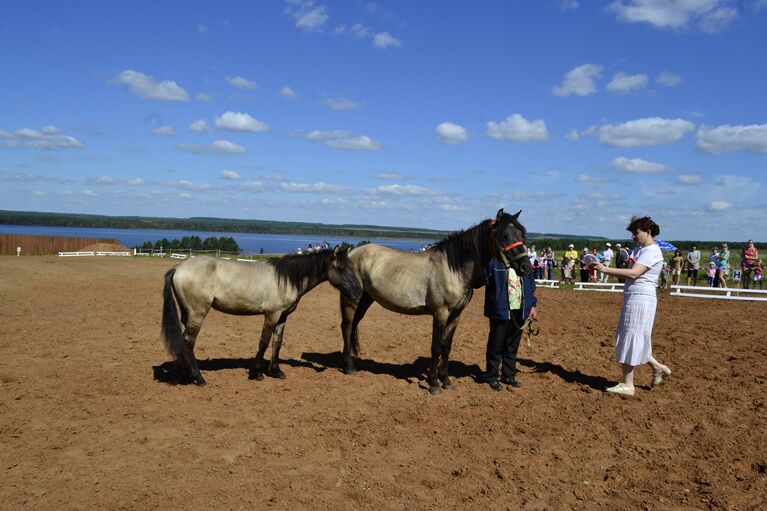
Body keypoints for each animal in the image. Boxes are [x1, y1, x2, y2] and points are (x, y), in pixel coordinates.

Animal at [161, 247, 364, 384]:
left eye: (351, 267)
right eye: (340, 268)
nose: (358, 292)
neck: (286, 279)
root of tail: (179, 268)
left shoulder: (283, 316)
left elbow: (277, 343)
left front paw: (276, 372)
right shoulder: (271, 314)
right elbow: (264, 342)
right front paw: (256, 373)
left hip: (186, 313)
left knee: (183, 341)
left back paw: (184, 375)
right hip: (198, 313)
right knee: (189, 342)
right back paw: (197, 377)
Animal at [340, 208, 532, 396]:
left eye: (522, 235)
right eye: (505, 235)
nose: (526, 267)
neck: (453, 268)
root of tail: (351, 252)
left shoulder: (455, 315)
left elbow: (446, 347)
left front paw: (446, 381)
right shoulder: (440, 313)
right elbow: (436, 347)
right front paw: (433, 384)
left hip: (365, 299)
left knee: (353, 326)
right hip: (351, 300)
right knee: (347, 327)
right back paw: (349, 367)